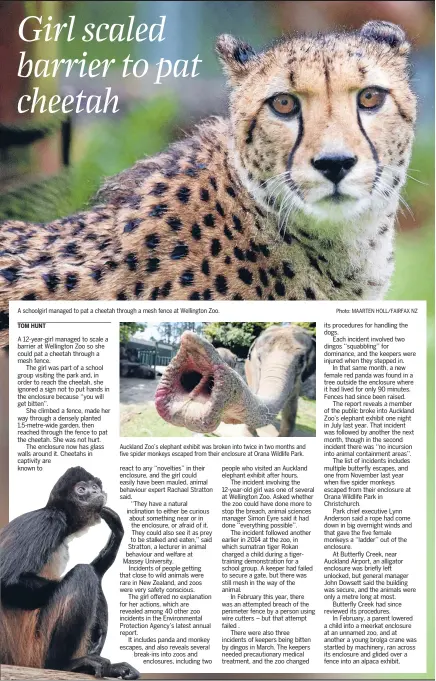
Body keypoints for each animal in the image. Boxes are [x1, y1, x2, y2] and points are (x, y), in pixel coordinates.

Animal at [0, 464, 139, 676]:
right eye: (81, 490)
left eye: (94, 487)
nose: (96, 492)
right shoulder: (49, 520)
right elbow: (7, 582)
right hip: (32, 649)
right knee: (83, 574)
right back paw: (65, 664)